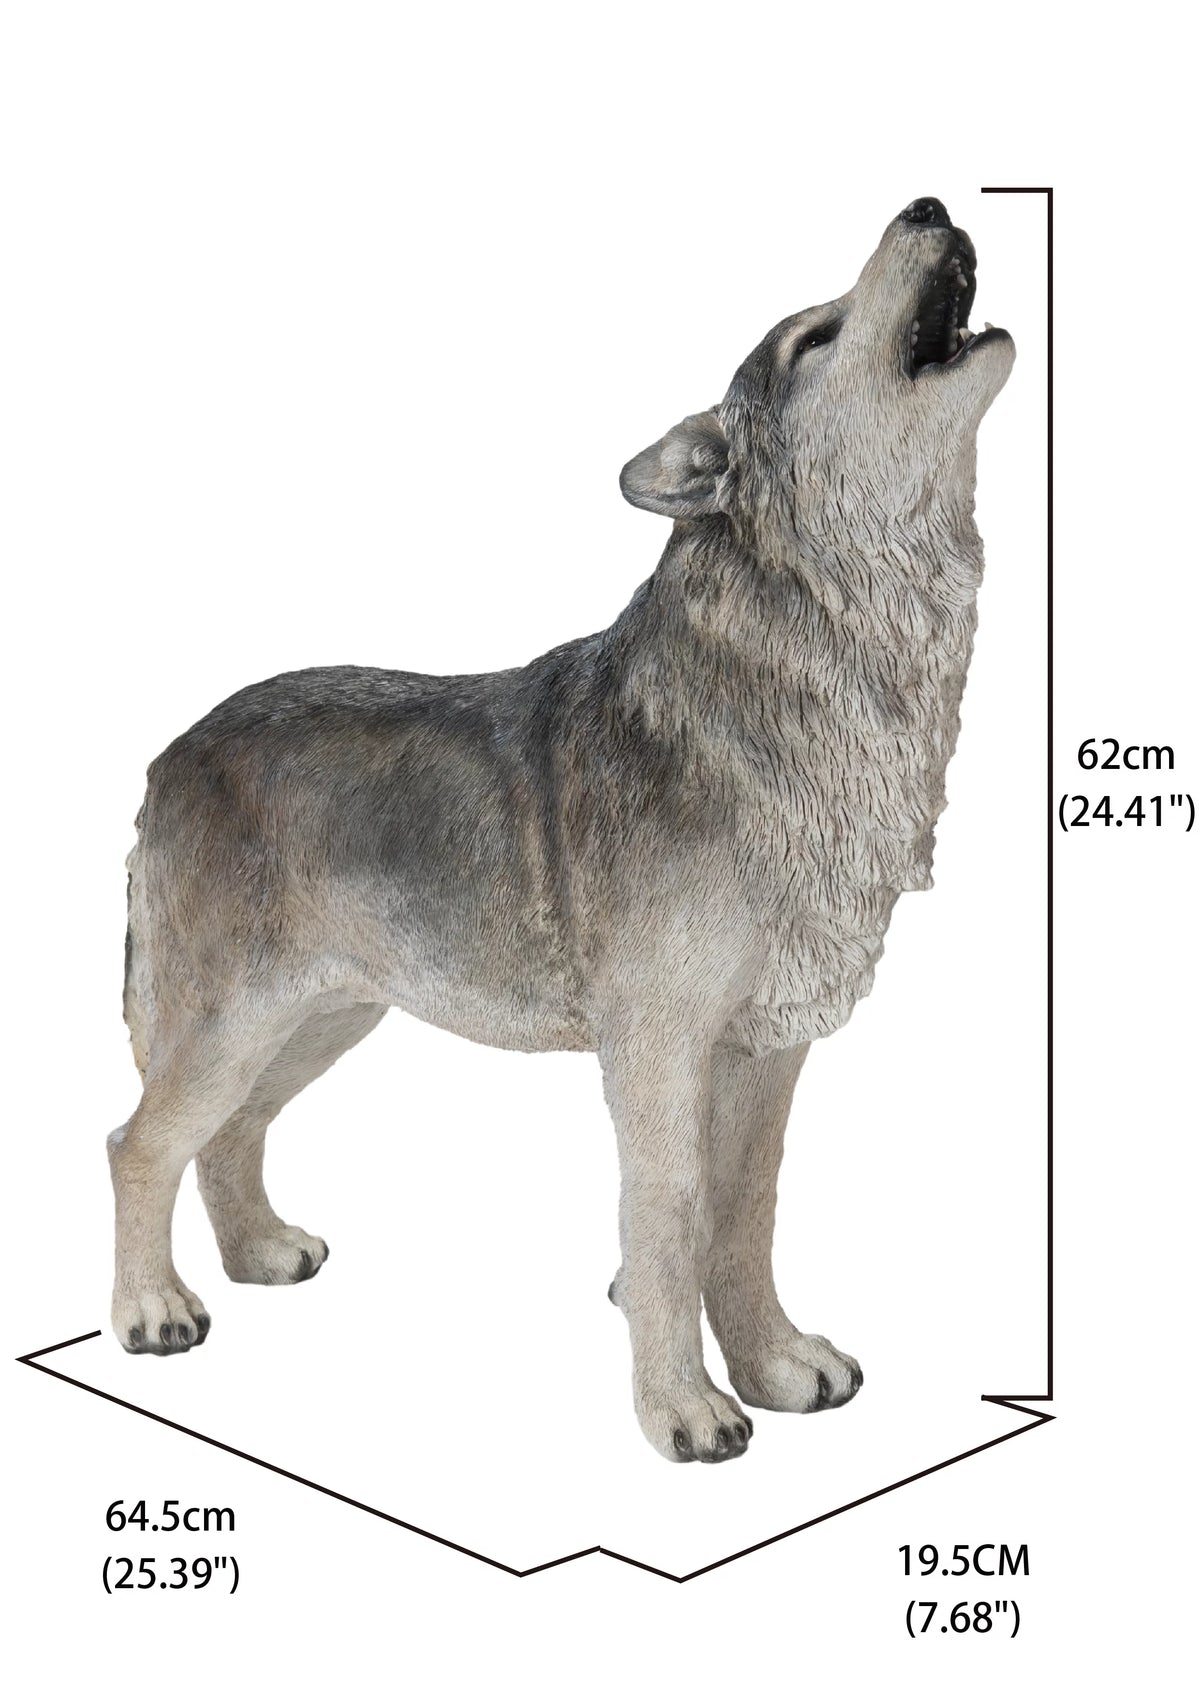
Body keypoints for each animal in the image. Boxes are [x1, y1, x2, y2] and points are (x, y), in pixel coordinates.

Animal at [109, 196, 1014, 1463]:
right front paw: (686, 1409)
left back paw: (262, 1257)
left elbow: (749, 1212)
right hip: (236, 1023)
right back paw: (153, 1310)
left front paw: (778, 1365)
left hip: (321, 1021)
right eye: (816, 337)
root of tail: (172, 750)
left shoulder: (767, 1048)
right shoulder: (658, 1051)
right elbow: (671, 1219)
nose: (927, 205)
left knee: (228, 1137)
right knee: (140, 1142)